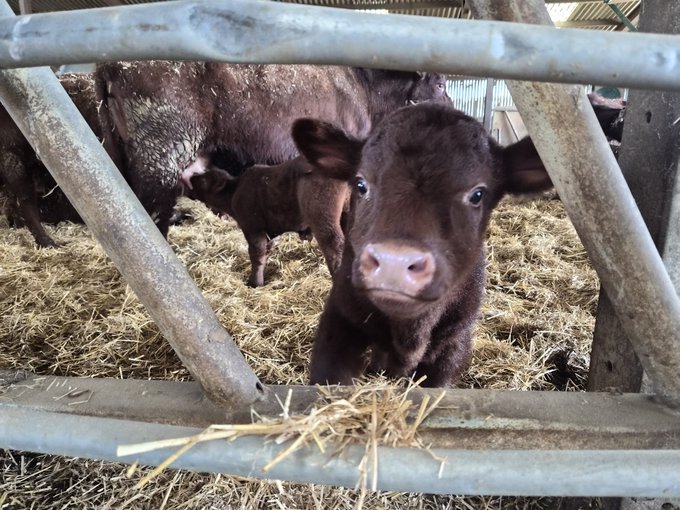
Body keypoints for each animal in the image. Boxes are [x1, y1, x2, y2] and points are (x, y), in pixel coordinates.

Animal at [189, 156, 349, 287]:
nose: (190, 178)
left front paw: (255, 283)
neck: (235, 191)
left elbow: (257, 254)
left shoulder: (253, 228)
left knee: (334, 247)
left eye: (203, 181)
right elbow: (266, 252)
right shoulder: (269, 231)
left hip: (324, 219)